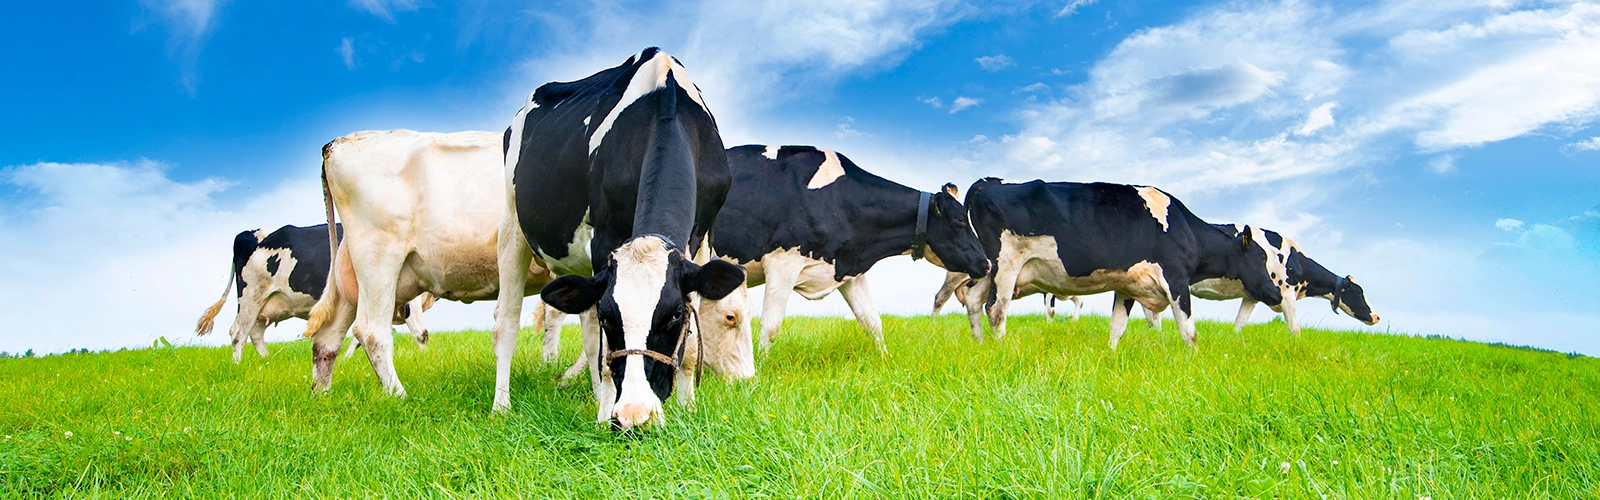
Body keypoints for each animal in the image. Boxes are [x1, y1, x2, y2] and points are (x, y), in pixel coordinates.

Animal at [194, 224, 435, 363]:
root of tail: (248, 233)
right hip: (251, 294)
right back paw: (238, 364)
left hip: (266, 302)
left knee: (255, 332)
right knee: (238, 332)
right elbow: (420, 334)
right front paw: (424, 358)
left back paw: (266, 361)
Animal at [301, 130, 559, 397]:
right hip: (378, 259)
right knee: (371, 333)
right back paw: (400, 397)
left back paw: (322, 395)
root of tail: (335, 143)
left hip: (353, 275)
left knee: (327, 338)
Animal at [493, 48, 745, 430]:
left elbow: (690, 341)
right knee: (506, 321)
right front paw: (606, 414)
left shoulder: (702, 239)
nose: (634, 417)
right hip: (512, 223)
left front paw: (688, 409)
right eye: (610, 317)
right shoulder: (604, 237)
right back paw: (501, 407)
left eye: (674, 315)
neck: (667, 107)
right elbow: (602, 351)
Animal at [959, 178, 1283, 348]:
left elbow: (1117, 327)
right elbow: (1188, 331)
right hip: (1006, 263)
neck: (1184, 227)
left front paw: (1111, 356)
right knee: (996, 309)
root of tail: (988, 182)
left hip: (988, 268)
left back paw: (980, 344)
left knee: (974, 300)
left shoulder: (1127, 285)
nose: (1278, 293)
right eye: (1261, 258)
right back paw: (1001, 348)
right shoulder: (1176, 278)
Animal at [1192, 224, 1379, 333]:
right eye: (1359, 292)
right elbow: (1295, 328)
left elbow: (1239, 323)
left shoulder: (1252, 296)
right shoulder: (1287, 294)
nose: (1377, 317)